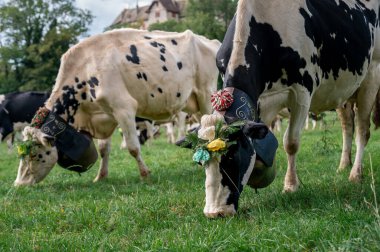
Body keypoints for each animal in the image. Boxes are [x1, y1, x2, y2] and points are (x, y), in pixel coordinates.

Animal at [197, 0, 380, 217]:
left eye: (233, 154)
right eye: (201, 162)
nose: (215, 212)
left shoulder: (302, 91)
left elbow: (291, 142)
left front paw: (290, 185)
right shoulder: (262, 99)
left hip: (371, 76)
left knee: (362, 130)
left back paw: (355, 174)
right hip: (345, 90)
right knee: (347, 127)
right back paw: (344, 165)